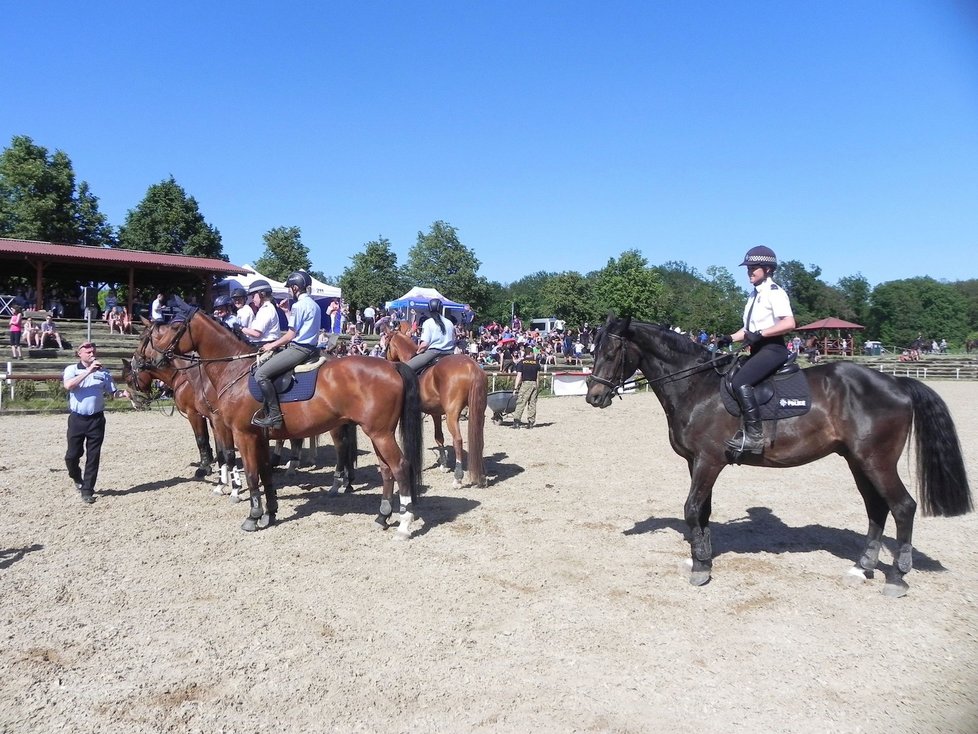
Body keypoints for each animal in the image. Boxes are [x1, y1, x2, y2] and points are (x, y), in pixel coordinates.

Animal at [140, 310, 424, 540]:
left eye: (174, 328)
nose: (150, 360)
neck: (235, 372)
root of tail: (393, 366)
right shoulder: (259, 437)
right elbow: (266, 473)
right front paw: (270, 514)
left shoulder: (242, 434)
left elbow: (251, 474)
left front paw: (252, 516)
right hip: (376, 433)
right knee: (386, 470)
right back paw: (382, 516)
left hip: (380, 434)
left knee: (399, 467)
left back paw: (403, 524)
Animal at [382, 326, 488, 488]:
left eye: (386, 342)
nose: (385, 359)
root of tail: (472, 367)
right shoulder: (436, 413)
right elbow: (439, 437)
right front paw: (443, 464)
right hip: (479, 411)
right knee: (479, 439)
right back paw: (481, 475)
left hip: (452, 415)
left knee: (457, 440)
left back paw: (458, 478)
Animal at [584, 316, 972, 600]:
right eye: (594, 347)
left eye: (611, 351)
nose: (593, 397)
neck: (698, 387)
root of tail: (896, 383)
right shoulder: (696, 462)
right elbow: (703, 511)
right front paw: (702, 559)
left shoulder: (709, 461)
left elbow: (692, 509)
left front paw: (700, 568)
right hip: (858, 461)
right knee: (877, 508)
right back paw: (862, 567)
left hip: (877, 461)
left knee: (903, 507)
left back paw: (896, 578)